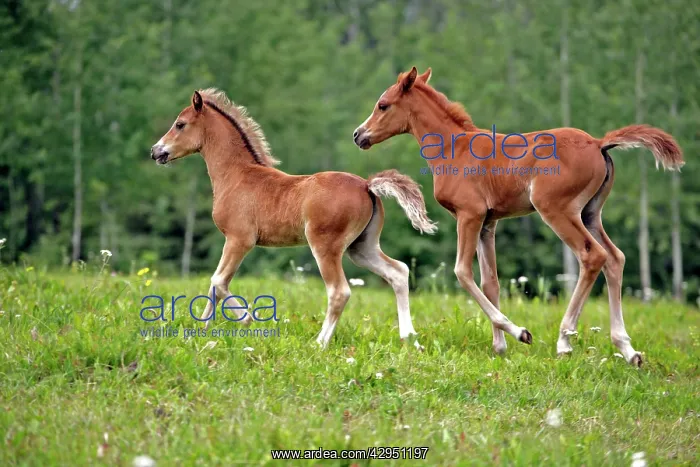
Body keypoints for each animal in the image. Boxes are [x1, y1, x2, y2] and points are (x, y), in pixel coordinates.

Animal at [150, 88, 437, 348]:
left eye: (180, 124)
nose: (156, 151)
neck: (237, 175)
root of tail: (367, 185)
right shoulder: (235, 241)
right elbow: (216, 283)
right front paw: (200, 330)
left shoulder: (239, 239)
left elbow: (218, 281)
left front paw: (245, 319)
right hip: (361, 247)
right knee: (398, 272)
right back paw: (410, 339)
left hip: (325, 245)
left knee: (339, 291)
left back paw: (319, 343)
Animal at [352, 67, 684, 366]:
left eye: (383, 104)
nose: (358, 135)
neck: (453, 147)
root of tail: (598, 143)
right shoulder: (489, 222)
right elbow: (491, 282)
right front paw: (500, 347)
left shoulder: (469, 215)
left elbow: (462, 272)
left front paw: (520, 332)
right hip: (590, 213)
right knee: (615, 258)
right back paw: (628, 349)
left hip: (556, 209)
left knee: (592, 255)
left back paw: (565, 341)